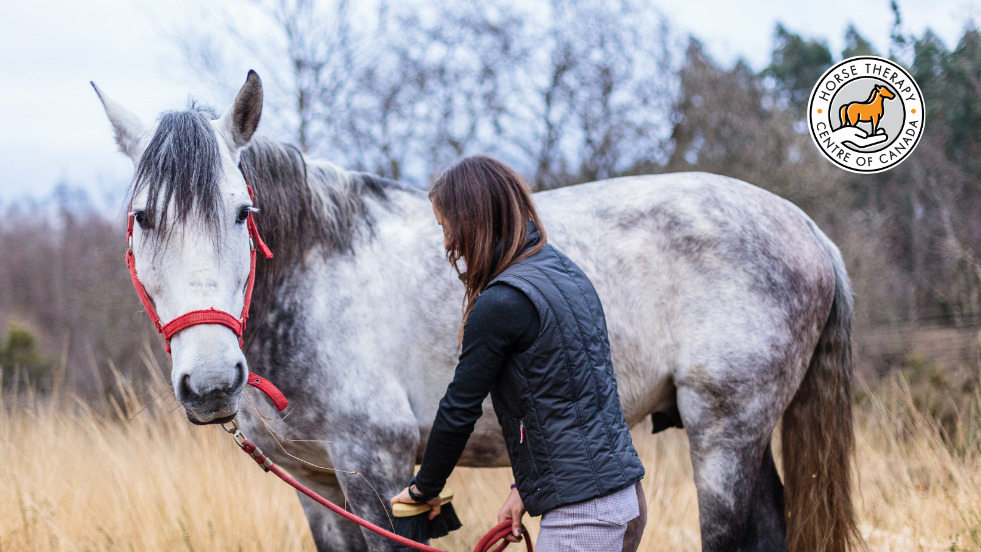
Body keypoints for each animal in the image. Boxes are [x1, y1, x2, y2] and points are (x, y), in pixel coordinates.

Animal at [92, 71, 860, 552]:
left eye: (241, 212)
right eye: (142, 218)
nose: (211, 383)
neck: (318, 272)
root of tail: (809, 229)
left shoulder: (376, 470)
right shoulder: (316, 485)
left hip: (724, 431)